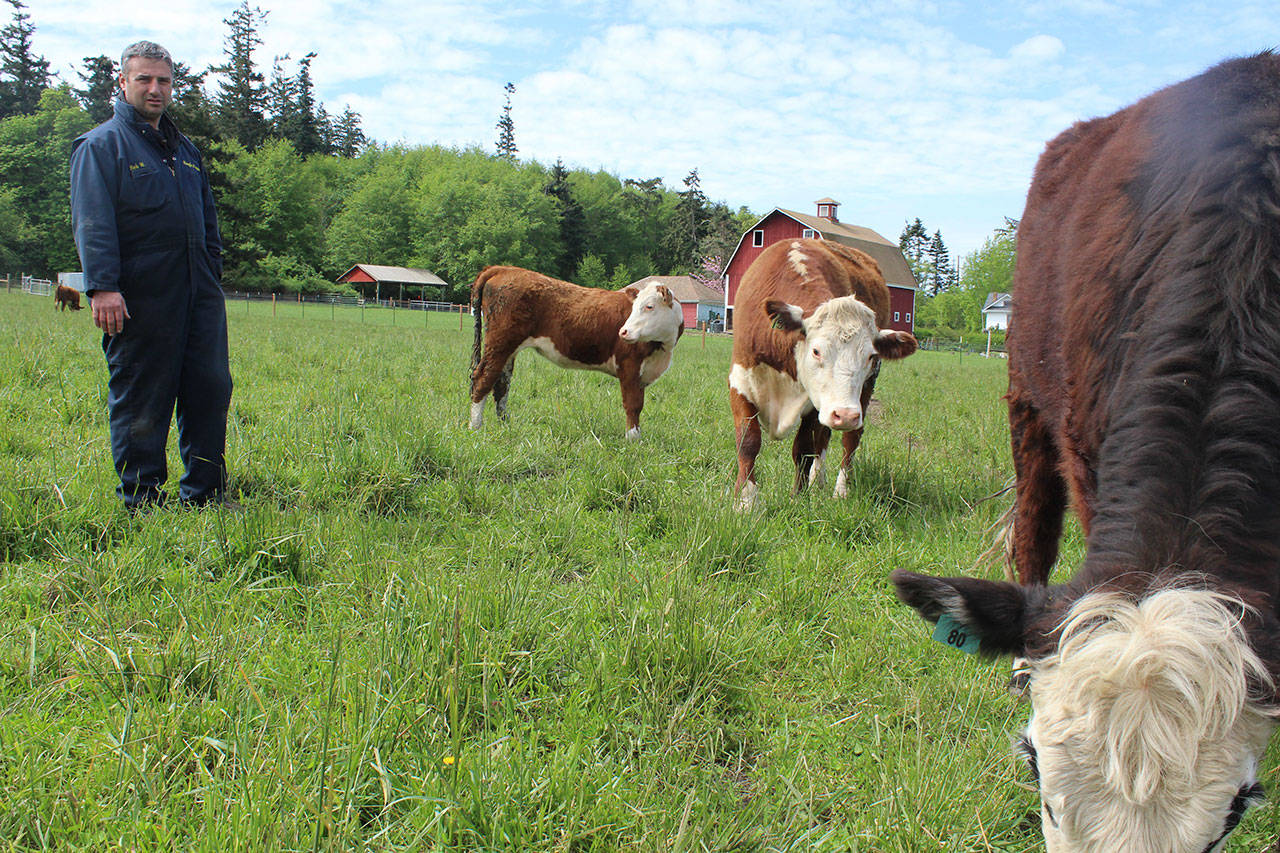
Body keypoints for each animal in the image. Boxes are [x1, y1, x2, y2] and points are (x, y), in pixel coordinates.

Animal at [471, 263, 686, 438]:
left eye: (649, 306)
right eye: (633, 308)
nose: (623, 331)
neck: (661, 350)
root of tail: (503, 268)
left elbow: (639, 405)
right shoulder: (629, 366)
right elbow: (632, 405)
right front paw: (633, 440)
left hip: (508, 349)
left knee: (501, 384)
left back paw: (505, 426)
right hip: (500, 343)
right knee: (482, 379)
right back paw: (475, 428)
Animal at [727, 235, 916, 507]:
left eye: (870, 356)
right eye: (816, 351)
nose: (845, 415)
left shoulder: (813, 404)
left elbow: (803, 448)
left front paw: (797, 497)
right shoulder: (741, 381)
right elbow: (748, 442)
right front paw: (745, 501)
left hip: (859, 393)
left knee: (849, 440)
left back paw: (840, 489)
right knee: (825, 436)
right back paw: (819, 480)